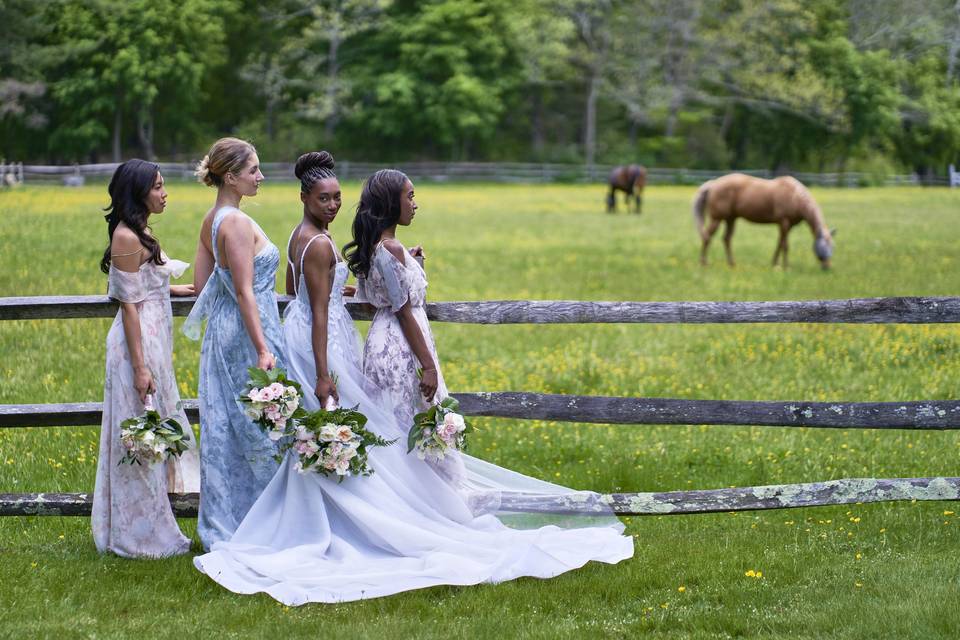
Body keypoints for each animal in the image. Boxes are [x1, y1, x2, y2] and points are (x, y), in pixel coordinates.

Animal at [692, 171, 836, 268]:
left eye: (832, 246)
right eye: (822, 246)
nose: (827, 267)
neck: (795, 197)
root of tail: (713, 184)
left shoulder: (786, 226)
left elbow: (779, 244)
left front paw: (775, 264)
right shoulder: (784, 223)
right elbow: (785, 246)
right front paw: (786, 266)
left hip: (731, 219)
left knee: (726, 239)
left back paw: (732, 264)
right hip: (717, 219)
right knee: (707, 236)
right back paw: (704, 263)